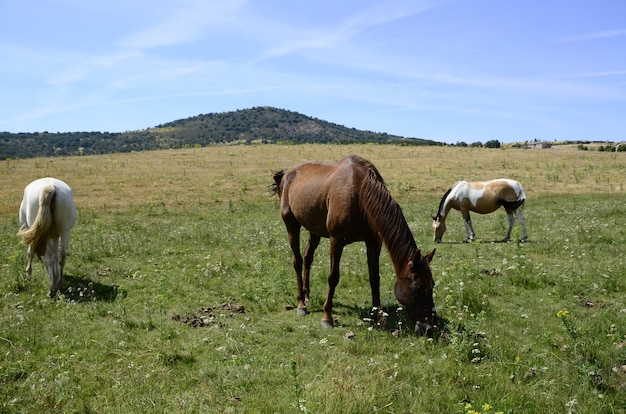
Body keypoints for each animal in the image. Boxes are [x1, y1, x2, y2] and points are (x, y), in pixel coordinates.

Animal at [270, 155, 436, 336]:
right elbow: (333, 277)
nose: (429, 328)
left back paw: (307, 295)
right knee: (298, 261)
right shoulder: (336, 241)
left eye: (432, 284)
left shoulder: (373, 242)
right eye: (418, 287)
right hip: (291, 224)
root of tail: (287, 174)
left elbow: (374, 278)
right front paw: (327, 317)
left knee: (308, 258)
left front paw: (379, 318)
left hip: (314, 230)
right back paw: (301, 304)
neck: (359, 193)